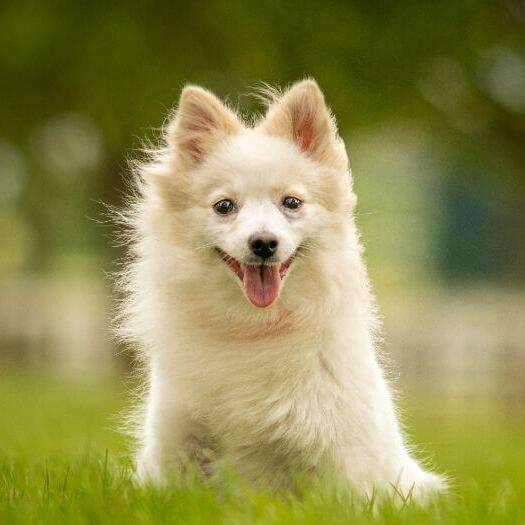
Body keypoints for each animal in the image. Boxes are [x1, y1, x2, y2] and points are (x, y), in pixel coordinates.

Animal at [117, 80, 442, 502]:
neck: (252, 328)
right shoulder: (177, 443)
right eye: (224, 206)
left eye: (292, 202)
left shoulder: (335, 457)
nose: (263, 243)